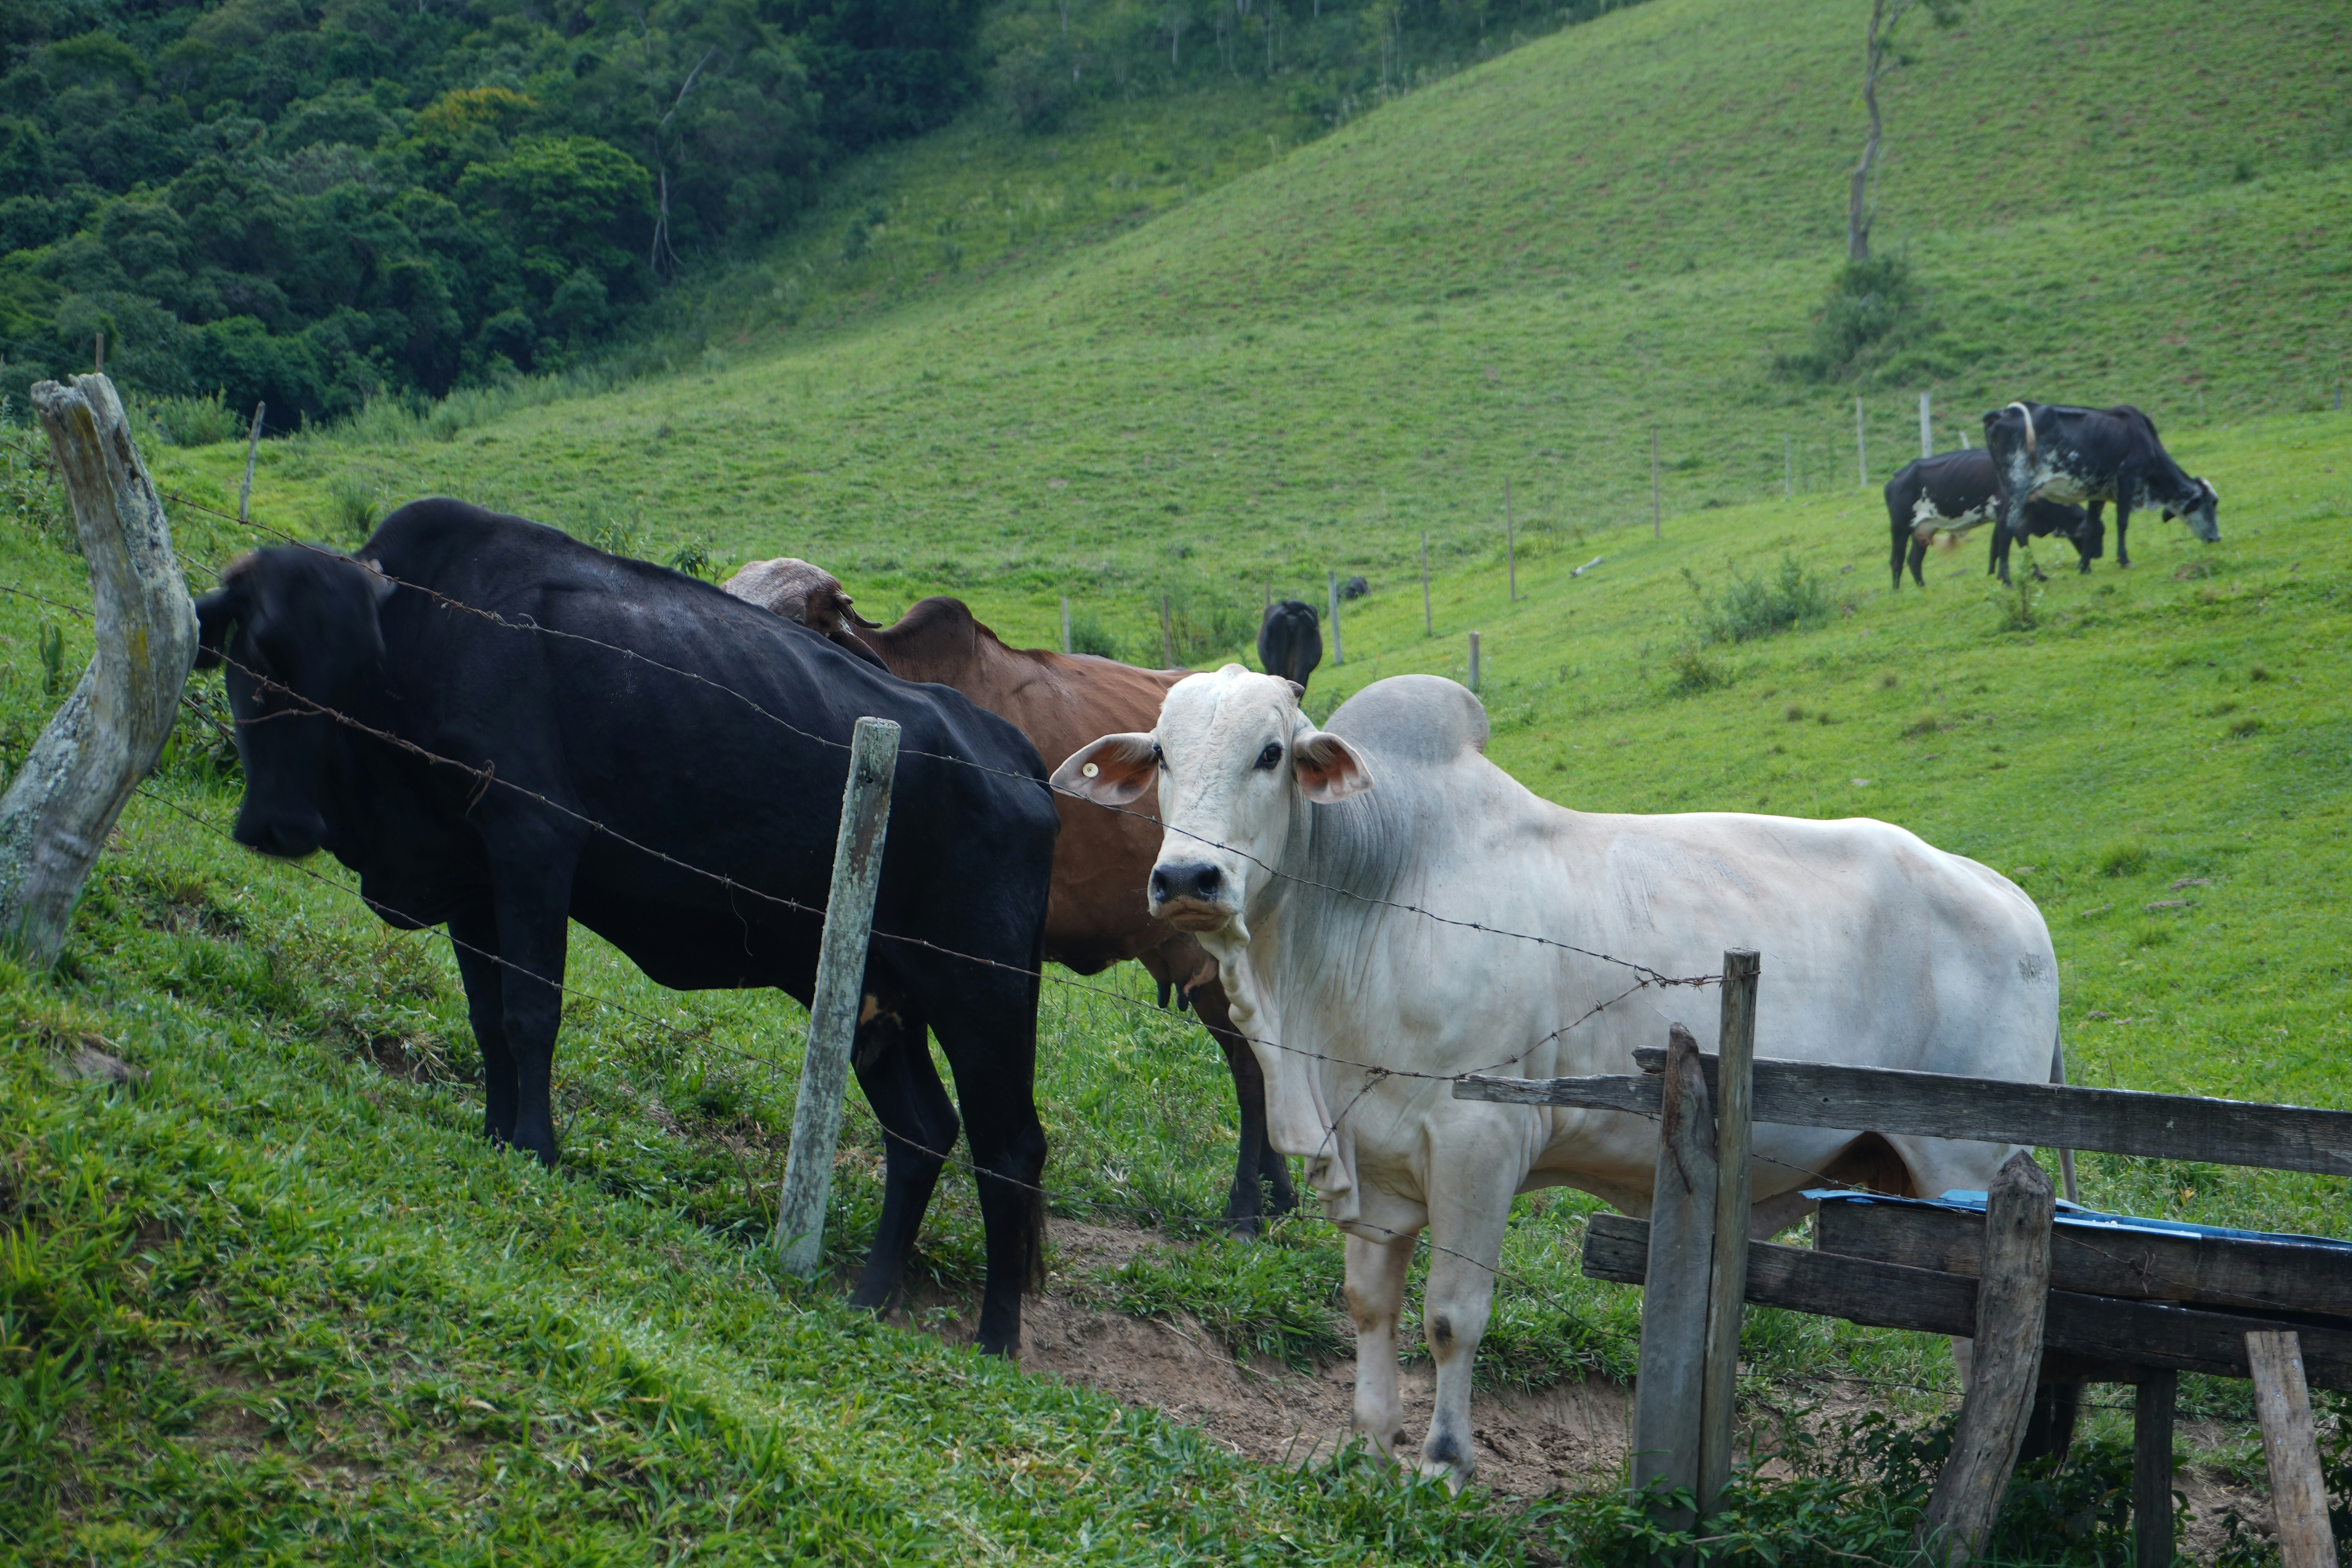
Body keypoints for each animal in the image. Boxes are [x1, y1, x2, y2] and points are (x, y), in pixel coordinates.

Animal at [196, 502, 1061, 1356]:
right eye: (256, 650)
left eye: (343, 663)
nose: (281, 825)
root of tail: (1010, 749)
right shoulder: (473, 877)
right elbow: (488, 1020)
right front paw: (494, 1132)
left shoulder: (534, 839)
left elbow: (532, 1011)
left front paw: (536, 1147)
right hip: (880, 996)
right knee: (922, 1133)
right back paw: (870, 1296)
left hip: (984, 994)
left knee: (1010, 1150)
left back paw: (995, 1339)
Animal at [1055, 669, 2057, 1483]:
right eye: (1164, 754)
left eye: (1270, 754)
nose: (1189, 877)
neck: (1371, 895)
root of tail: (2012, 899)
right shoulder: (1371, 1158)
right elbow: (1370, 1306)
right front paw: (1369, 1447)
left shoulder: (1478, 1144)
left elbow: (1450, 1315)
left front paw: (1445, 1462)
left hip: (1967, 1170)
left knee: (1991, 1341)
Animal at [1885, 448, 2099, 589]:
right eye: (2094, 533)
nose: (2096, 557)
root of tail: (1898, 474)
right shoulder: (2010, 515)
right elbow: (2016, 546)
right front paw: (2022, 578)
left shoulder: (2002, 519)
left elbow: (1995, 548)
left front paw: (1993, 575)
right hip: (1900, 526)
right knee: (1897, 560)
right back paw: (1897, 592)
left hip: (1924, 528)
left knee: (1914, 560)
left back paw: (1922, 586)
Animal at [1985, 401, 2219, 569]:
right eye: (2212, 504)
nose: (2217, 538)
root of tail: (2004, 413)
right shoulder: (2128, 481)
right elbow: (2122, 522)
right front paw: (2124, 560)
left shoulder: (2097, 492)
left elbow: (2091, 525)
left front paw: (2084, 566)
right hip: (2018, 488)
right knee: (2008, 528)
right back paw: (2008, 579)